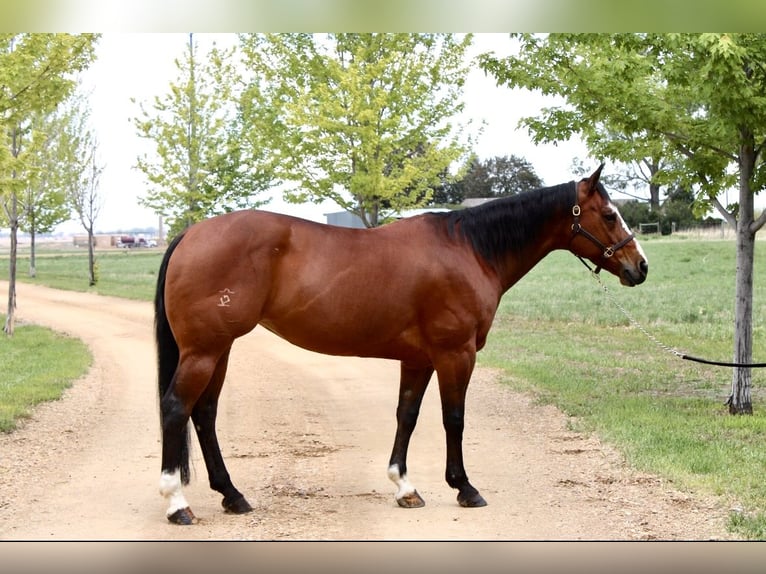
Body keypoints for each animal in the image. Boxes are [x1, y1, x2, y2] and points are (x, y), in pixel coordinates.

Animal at [155, 164, 648, 524]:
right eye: (609, 215)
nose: (639, 267)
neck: (469, 249)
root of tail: (191, 233)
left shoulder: (417, 359)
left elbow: (406, 417)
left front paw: (404, 487)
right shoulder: (455, 354)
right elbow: (454, 419)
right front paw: (464, 487)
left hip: (219, 350)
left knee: (204, 414)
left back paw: (232, 495)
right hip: (205, 351)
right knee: (177, 408)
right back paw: (178, 503)